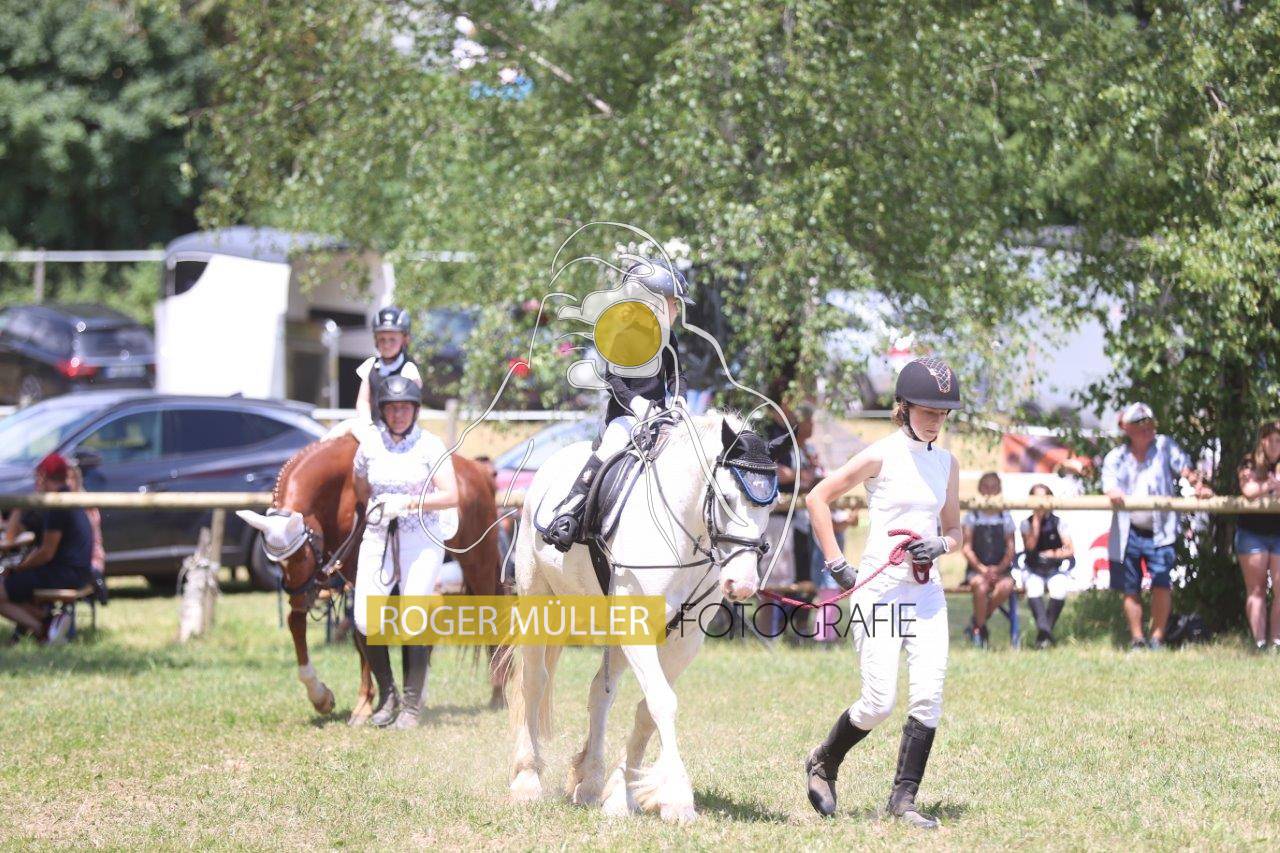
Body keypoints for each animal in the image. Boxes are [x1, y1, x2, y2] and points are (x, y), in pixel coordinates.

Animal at [238, 433, 510, 724]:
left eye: (302, 556)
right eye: (276, 561)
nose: (299, 601)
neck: (340, 493)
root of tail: (479, 471)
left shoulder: (357, 577)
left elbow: (361, 636)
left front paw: (364, 706)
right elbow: (301, 625)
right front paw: (322, 697)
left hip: (477, 564)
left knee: (490, 617)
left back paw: (497, 694)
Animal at [507, 410, 785, 823]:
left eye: (771, 503)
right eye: (726, 498)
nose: (743, 583)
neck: (681, 535)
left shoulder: (683, 638)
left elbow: (647, 711)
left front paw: (622, 794)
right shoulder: (637, 627)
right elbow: (661, 702)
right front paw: (677, 799)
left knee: (599, 693)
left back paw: (589, 782)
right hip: (538, 599)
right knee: (534, 681)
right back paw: (527, 780)